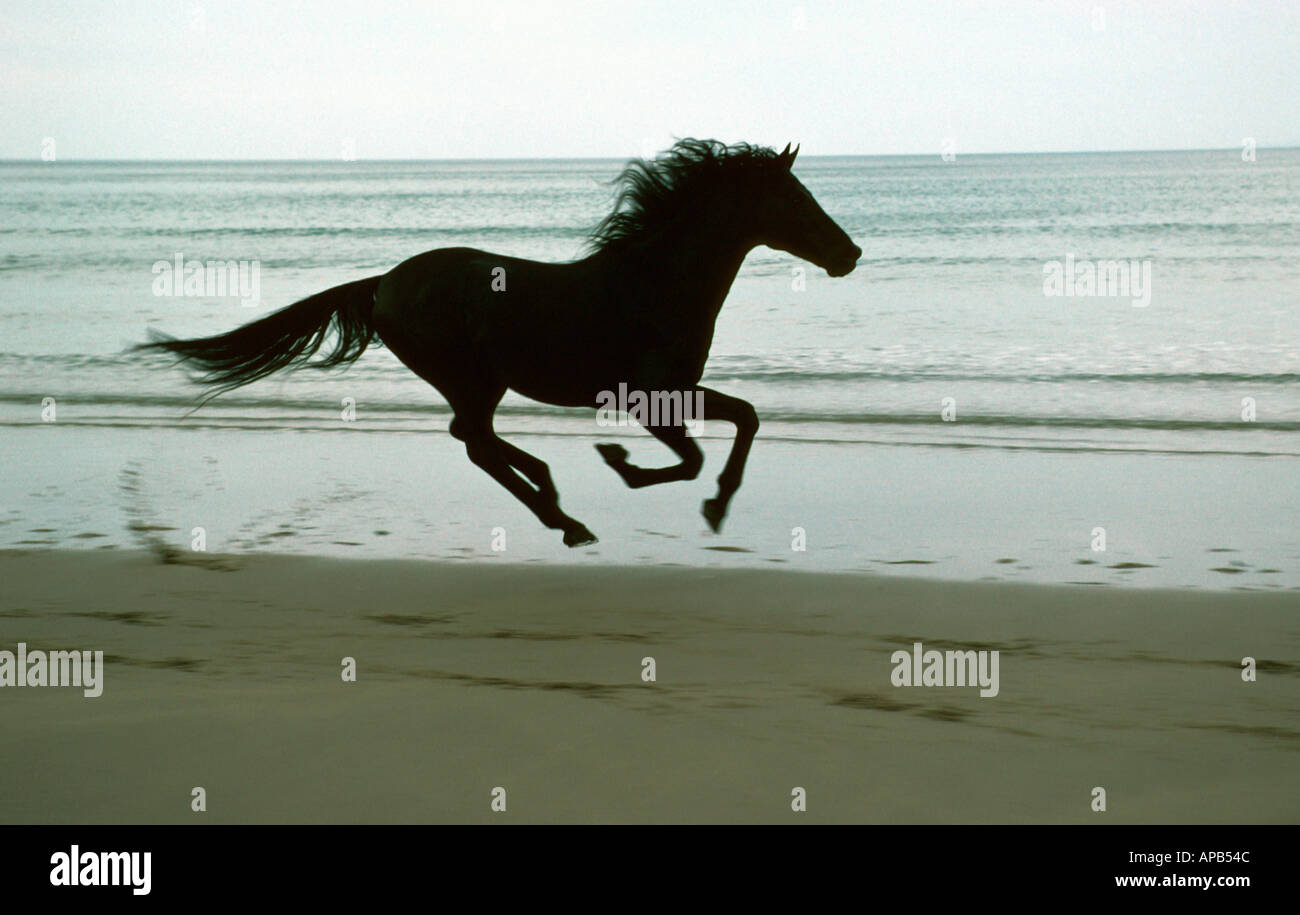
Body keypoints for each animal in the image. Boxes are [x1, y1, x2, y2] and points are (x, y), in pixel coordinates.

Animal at [137, 139, 861, 546]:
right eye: (794, 200)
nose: (849, 254)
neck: (653, 283)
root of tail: (383, 284)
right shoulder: (648, 395)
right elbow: (691, 456)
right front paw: (628, 465)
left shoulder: (672, 390)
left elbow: (744, 419)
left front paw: (712, 502)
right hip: (470, 376)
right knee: (475, 441)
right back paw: (564, 517)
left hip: (479, 381)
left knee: (475, 439)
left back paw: (551, 493)